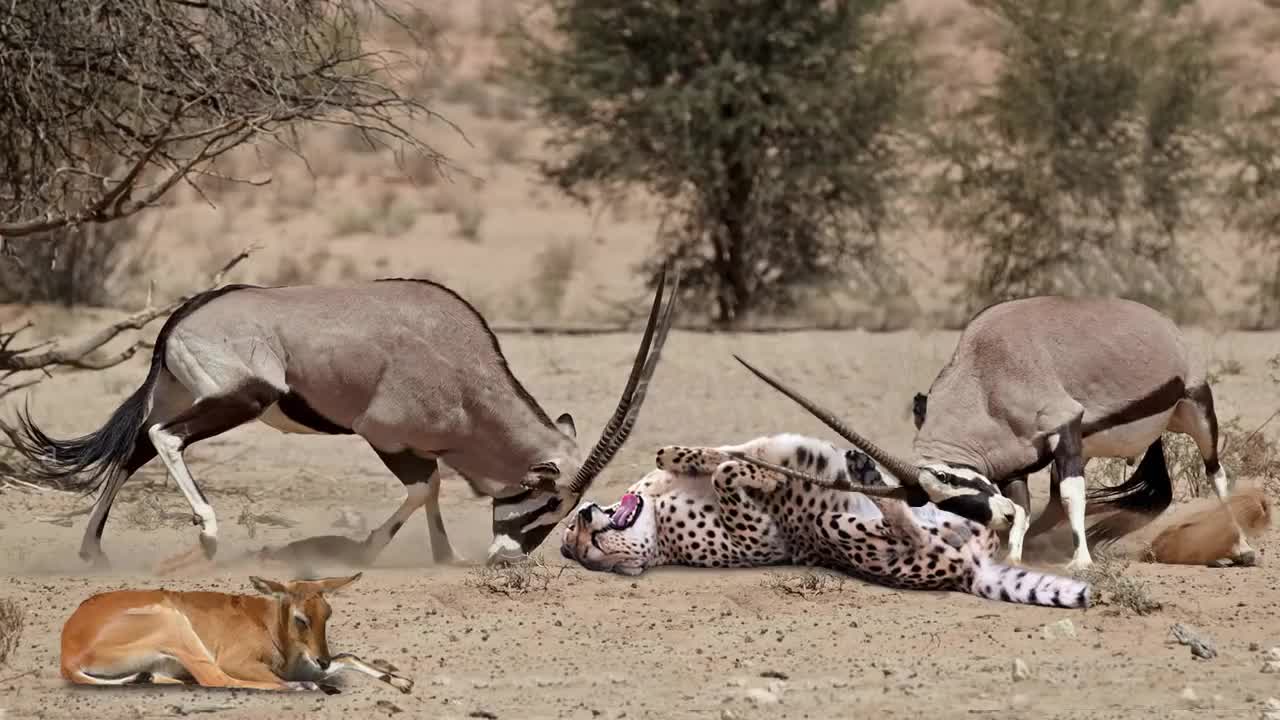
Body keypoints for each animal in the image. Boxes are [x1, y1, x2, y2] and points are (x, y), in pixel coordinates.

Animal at [7, 266, 680, 568]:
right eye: (549, 503)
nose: (507, 558)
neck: (465, 375)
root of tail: (185, 314)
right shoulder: (384, 434)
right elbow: (424, 486)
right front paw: (359, 550)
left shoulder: (422, 444)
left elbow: (433, 490)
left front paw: (443, 556)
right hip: (243, 398)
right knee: (163, 437)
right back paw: (208, 535)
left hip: (186, 395)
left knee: (133, 449)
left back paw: (93, 552)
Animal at [60, 568, 409, 691]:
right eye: (301, 617)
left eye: (328, 613)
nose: (321, 660)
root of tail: (69, 652)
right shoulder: (239, 661)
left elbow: (348, 656)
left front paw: (402, 681)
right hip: (176, 626)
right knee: (213, 678)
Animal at [560, 430, 1090, 604]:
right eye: (587, 548)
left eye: (575, 535)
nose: (582, 516)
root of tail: (968, 573)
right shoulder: (759, 534)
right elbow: (733, 473)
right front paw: (771, 477)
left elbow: (705, 456)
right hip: (844, 535)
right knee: (911, 533)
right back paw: (866, 476)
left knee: (988, 513)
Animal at [732, 294, 1259, 568]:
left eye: (950, 477)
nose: (995, 518)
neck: (987, 376)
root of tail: (1162, 322)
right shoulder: (1018, 464)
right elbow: (1027, 507)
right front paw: (1015, 555)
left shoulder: (1064, 430)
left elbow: (1070, 497)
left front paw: (1080, 562)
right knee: (1052, 507)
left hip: (1195, 408)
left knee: (1216, 474)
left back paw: (1243, 548)